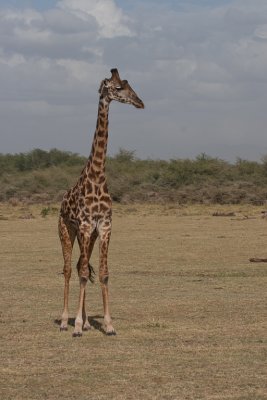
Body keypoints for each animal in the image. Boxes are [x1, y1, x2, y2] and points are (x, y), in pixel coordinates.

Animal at [58, 69, 144, 338]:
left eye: (128, 85)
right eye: (117, 88)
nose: (140, 102)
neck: (97, 174)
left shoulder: (104, 226)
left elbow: (103, 273)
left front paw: (107, 324)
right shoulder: (86, 225)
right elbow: (85, 273)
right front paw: (75, 325)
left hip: (89, 235)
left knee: (79, 266)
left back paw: (85, 322)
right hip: (66, 229)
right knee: (68, 268)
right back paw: (64, 321)